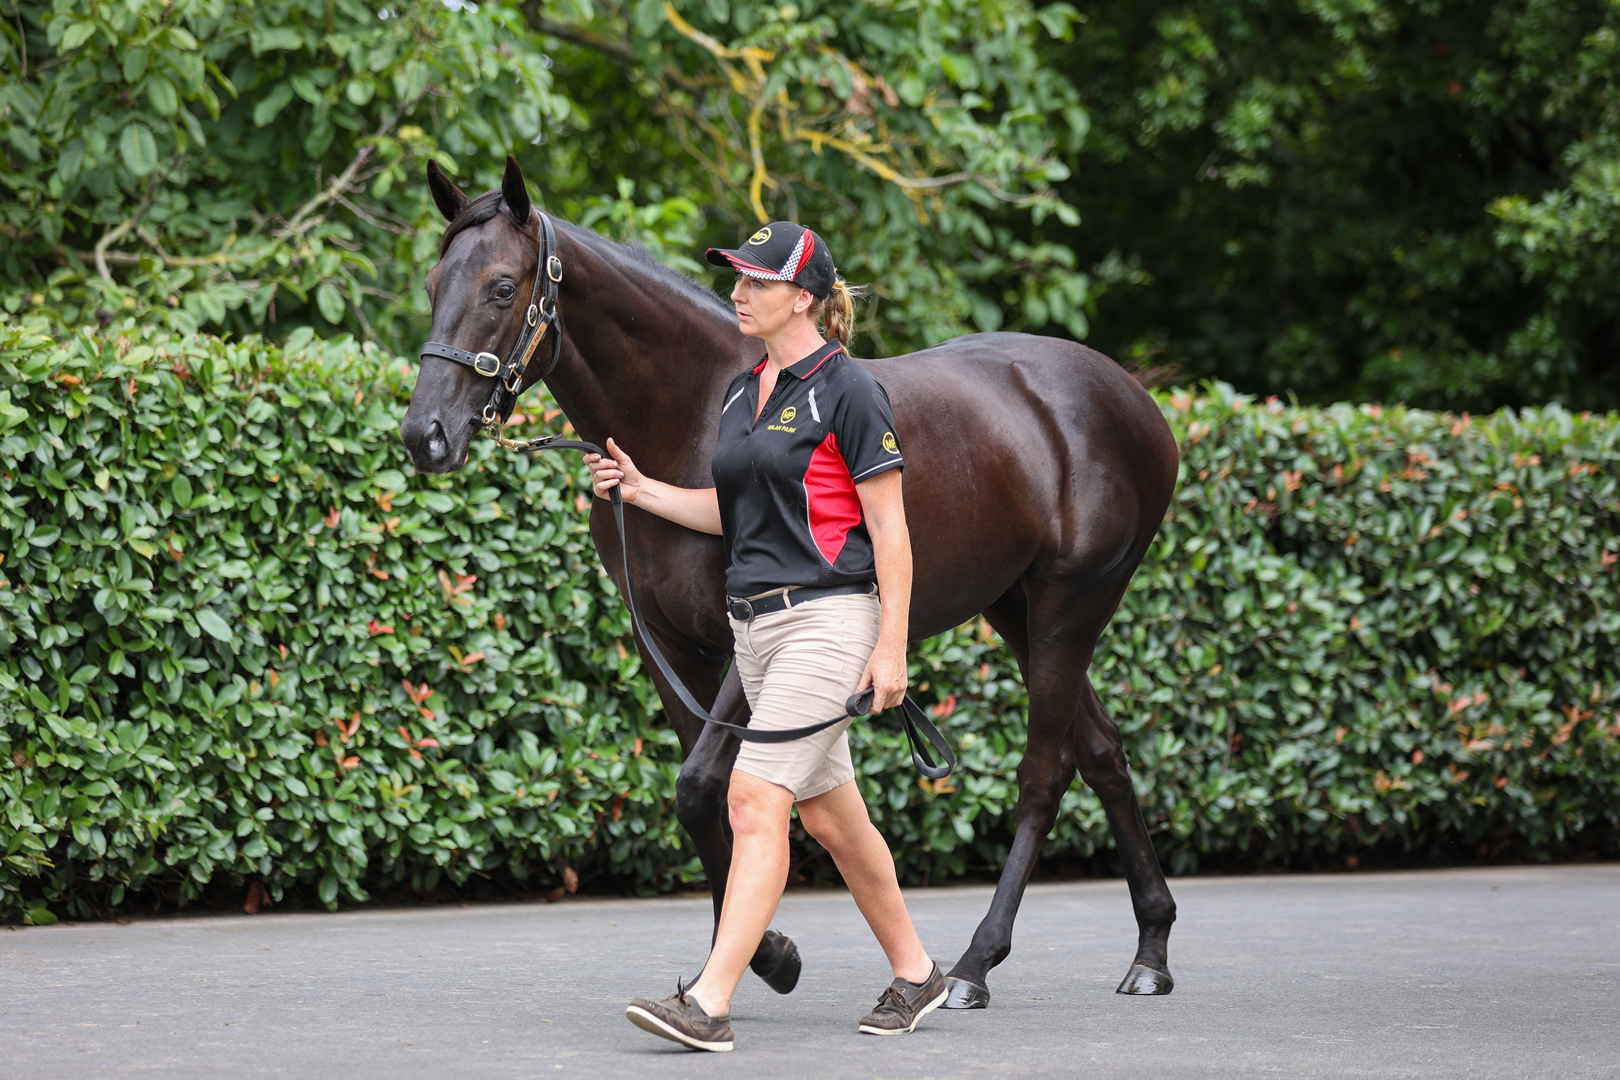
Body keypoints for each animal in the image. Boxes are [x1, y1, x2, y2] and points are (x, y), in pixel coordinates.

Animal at [401, 155, 1181, 1006]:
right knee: (1101, 752)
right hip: (1018, 606)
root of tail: (1135, 400)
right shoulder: (669, 644)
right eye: (434, 282)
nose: (424, 436)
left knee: (1046, 772)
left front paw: (765, 956)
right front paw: (745, 954)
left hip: (1073, 602)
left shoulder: (750, 632)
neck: (688, 413)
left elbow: (703, 783)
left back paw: (977, 963)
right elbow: (704, 792)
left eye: (503, 287)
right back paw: (1151, 948)